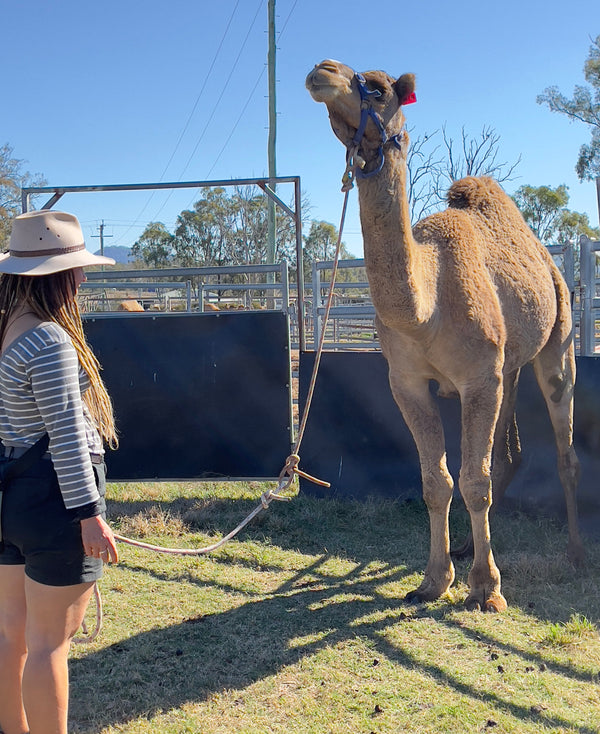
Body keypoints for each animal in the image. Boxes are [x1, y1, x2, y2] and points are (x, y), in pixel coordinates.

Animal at [306, 59, 585, 611]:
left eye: (378, 88)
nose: (321, 71)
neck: (426, 307)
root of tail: (550, 261)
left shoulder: (478, 378)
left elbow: (474, 481)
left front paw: (486, 589)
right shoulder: (408, 382)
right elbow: (437, 481)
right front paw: (436, 578)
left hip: (558, 342)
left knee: (563, 452)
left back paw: (577, 553)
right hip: (509, 366)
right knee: (508, 454)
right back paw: (467, 546)